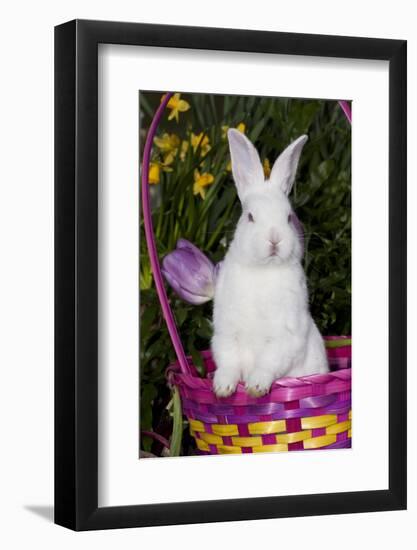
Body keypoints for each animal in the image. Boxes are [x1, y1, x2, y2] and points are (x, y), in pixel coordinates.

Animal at [211, 130, 328, 396]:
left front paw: (255, 387)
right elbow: (228, 362)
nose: (275, 238)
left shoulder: (285, 335)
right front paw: (222, 388)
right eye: (250, 217)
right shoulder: (226, 332)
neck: (263, 270)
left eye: (289, 217)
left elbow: (268, 363)